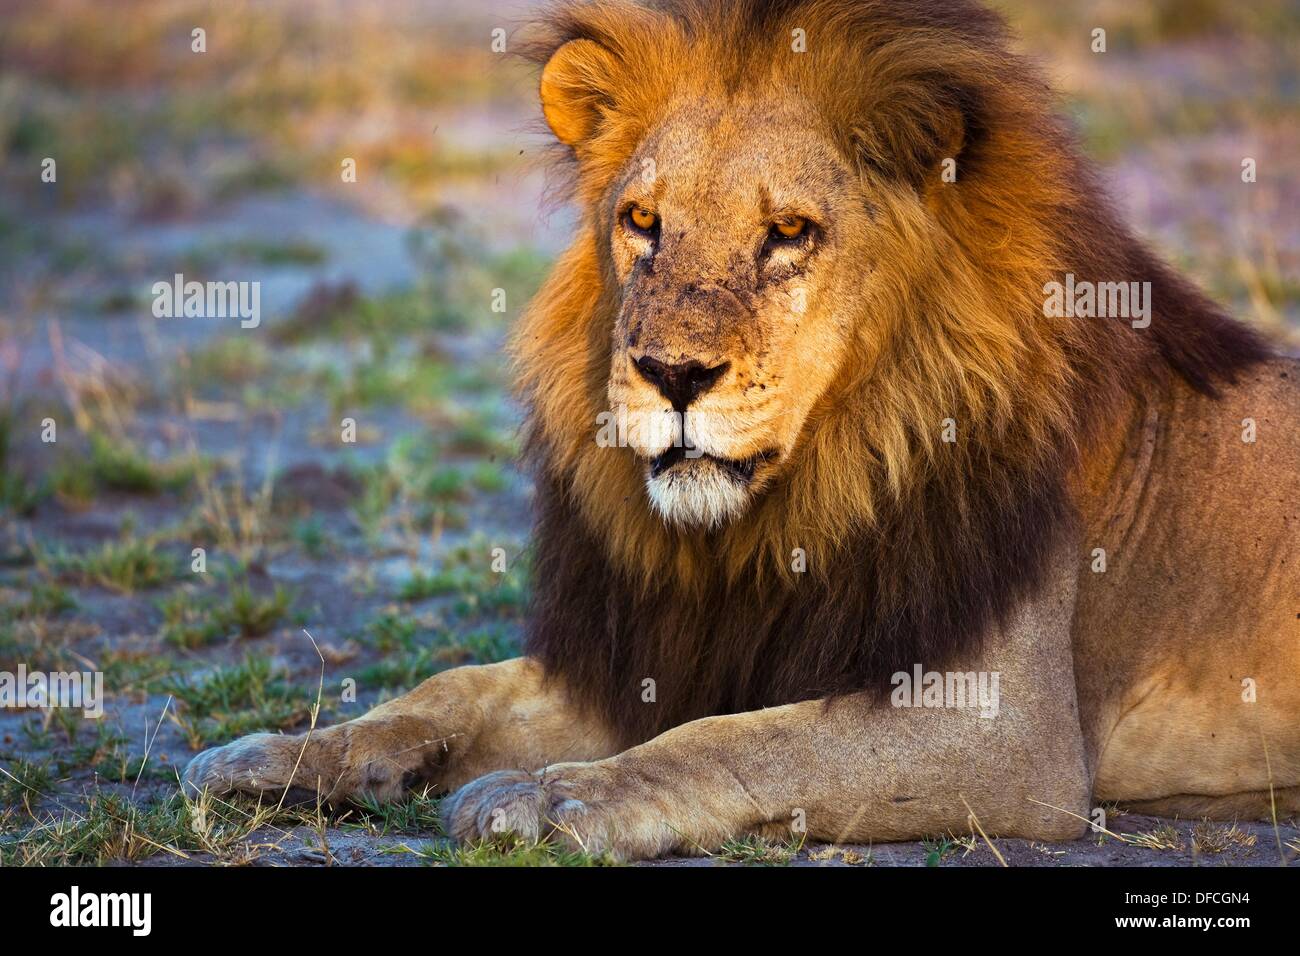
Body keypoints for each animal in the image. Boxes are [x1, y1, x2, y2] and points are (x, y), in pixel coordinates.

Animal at [184, 0, 1299, 859]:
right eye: (642, 222)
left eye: (789, 233)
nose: (672, 374)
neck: (778, 515)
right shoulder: (661, 648)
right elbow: (452, 685)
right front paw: (283, 753)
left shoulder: (1006, 730)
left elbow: (740, 740)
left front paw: (552, 795)